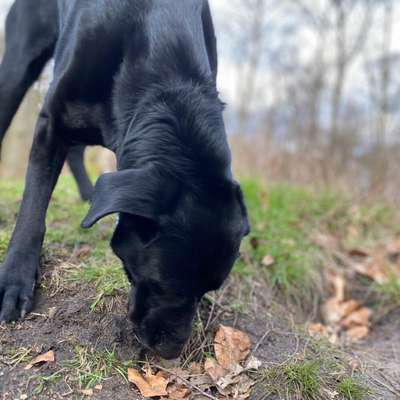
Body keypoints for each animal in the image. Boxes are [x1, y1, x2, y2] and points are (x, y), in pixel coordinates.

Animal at [0, 0, 248, 360]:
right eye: (162, 285)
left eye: (207, 291)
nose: (173, 351)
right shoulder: (51, 121)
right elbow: (33, 208)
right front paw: (16, 278)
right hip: (19, 62)